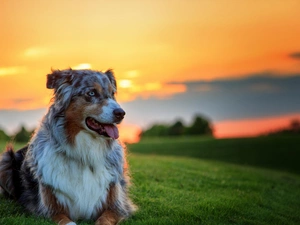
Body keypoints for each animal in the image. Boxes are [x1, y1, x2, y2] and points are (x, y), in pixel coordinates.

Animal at [0, 69, 136, 225]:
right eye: (91, 93)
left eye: (112, 93)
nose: (121, 113)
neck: (85, 155)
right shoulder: (50, 209)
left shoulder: (116, 206)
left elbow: (104, 219)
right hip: (5, 160)